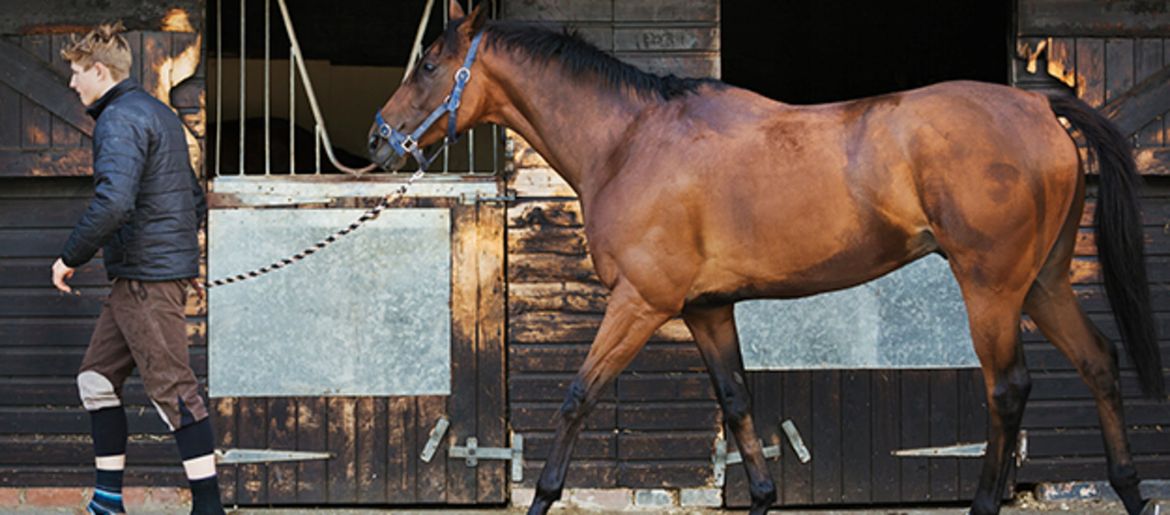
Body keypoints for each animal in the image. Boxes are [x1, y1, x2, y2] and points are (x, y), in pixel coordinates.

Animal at [365, 5, 1160, 515]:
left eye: (429, 64)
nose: (377, 141)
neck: (630, 141)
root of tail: (1040, 109)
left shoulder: (641, 304)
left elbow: (577, 398)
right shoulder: (706, 309)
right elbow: (738, 401)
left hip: (991, 286)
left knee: (1008, 389)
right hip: (1042, 283)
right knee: (1099, 362)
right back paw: (1128, 487)